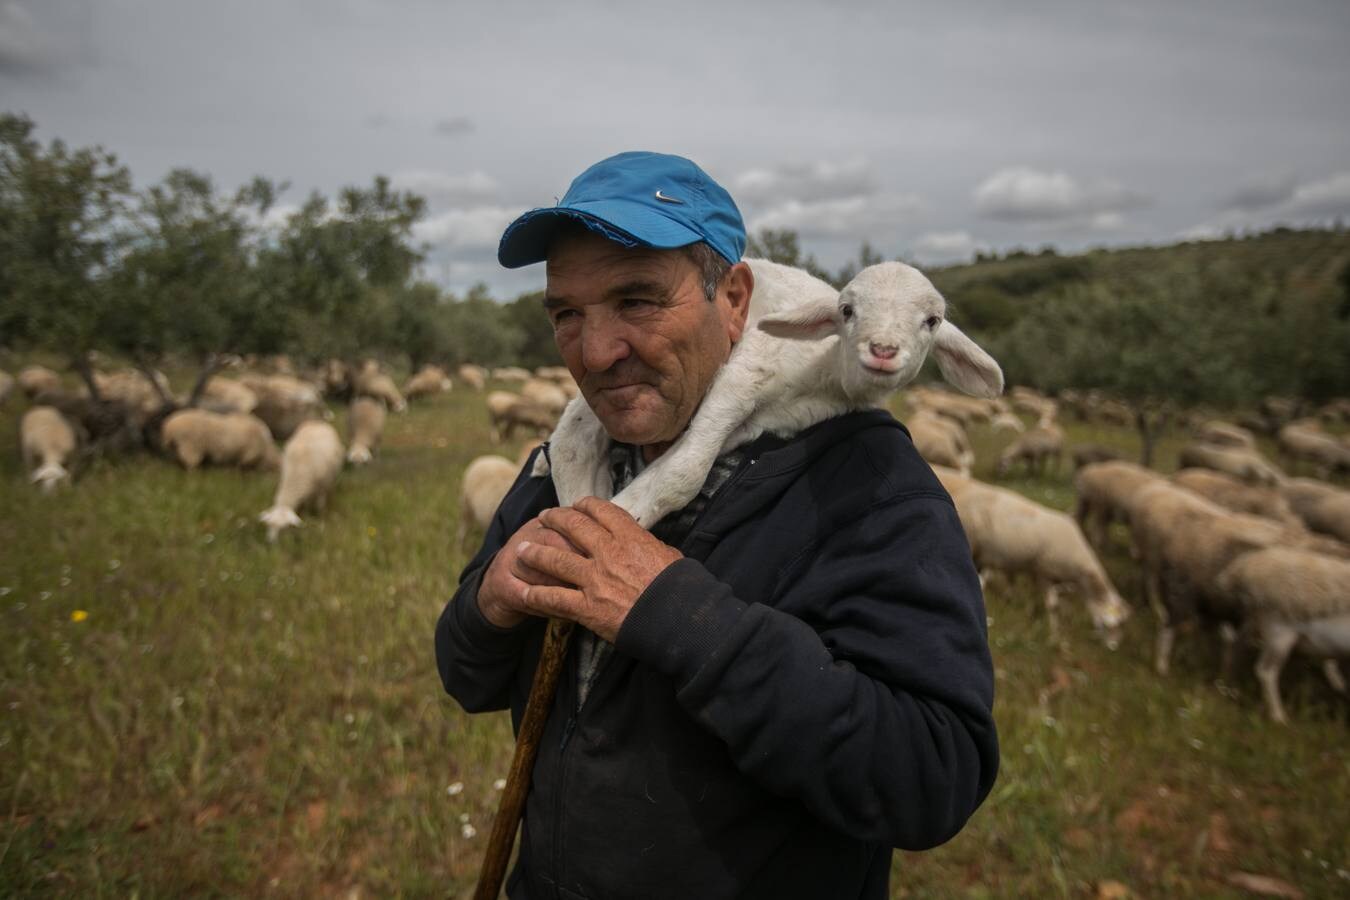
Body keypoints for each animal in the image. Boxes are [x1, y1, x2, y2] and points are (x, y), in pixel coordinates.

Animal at [540, 256, 1004, 528]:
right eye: (847, 311)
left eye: (931, 321)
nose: (883, 350)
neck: (822, 371)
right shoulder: (747, 370)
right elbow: (685, 471)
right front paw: (616, 516)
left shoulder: (777, 416)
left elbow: (682, 458)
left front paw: (621, 508)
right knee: (570, 442)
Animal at [928, 464, 1128, 647]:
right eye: (1109, 625)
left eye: (1120, 625)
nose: (1113, 647)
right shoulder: (1046, 572)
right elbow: (1053, 606)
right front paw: (1054, 636)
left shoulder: (1037, 570)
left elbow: (1039, 596)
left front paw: (1034, 611)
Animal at [1215, 542, 1350, 723]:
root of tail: (1244, 567)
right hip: (1279, 632)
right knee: (1265, 671)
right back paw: (1279, 718)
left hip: (1255, 620)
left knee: (1234, 645)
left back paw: (1227, 687)